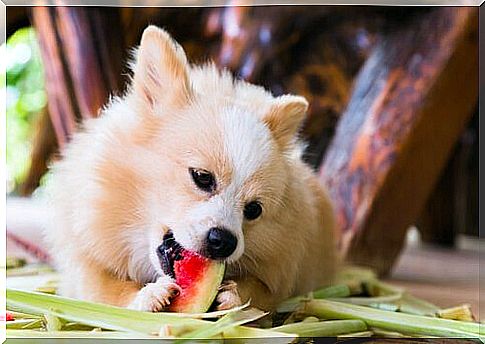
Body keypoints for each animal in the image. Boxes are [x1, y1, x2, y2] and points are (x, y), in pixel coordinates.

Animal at [42, 26, 336, 312]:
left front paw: (236, 294)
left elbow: (262, 291)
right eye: (202, 178)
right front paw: (146, 295)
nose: (225, 241)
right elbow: (104, 290)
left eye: (254, 210)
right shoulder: (83, 265)